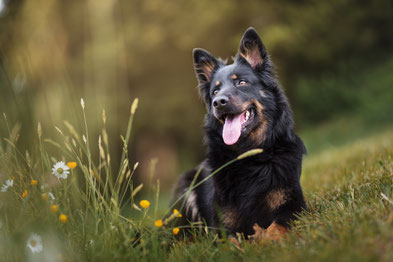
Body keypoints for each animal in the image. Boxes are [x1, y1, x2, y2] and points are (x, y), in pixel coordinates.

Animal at [171, 27, 306, 241]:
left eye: (242, 83)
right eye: (215, 91)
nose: (218, 102)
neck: (249, 158)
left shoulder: (293, 206)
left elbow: (276, 227)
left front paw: (268, 240)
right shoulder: (224, 228)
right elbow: (233, 241)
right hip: (187, 187)